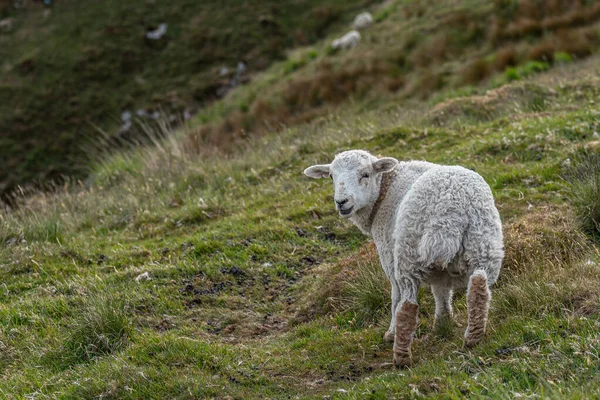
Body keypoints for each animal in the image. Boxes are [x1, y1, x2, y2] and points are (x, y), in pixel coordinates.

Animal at [302, 151, 504, 368]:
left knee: (407, 305)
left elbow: (395, 296)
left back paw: (401, 357)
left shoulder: (388, 255)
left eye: (365, 174)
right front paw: (442, 322)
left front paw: (391, 333)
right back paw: (474, 337)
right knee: (478, 287)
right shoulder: (439, 270)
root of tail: (450, 210)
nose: (341, 202)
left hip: (409, 251)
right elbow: (441, 292)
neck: (384, 191)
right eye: (331, 176)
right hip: (483, 242)